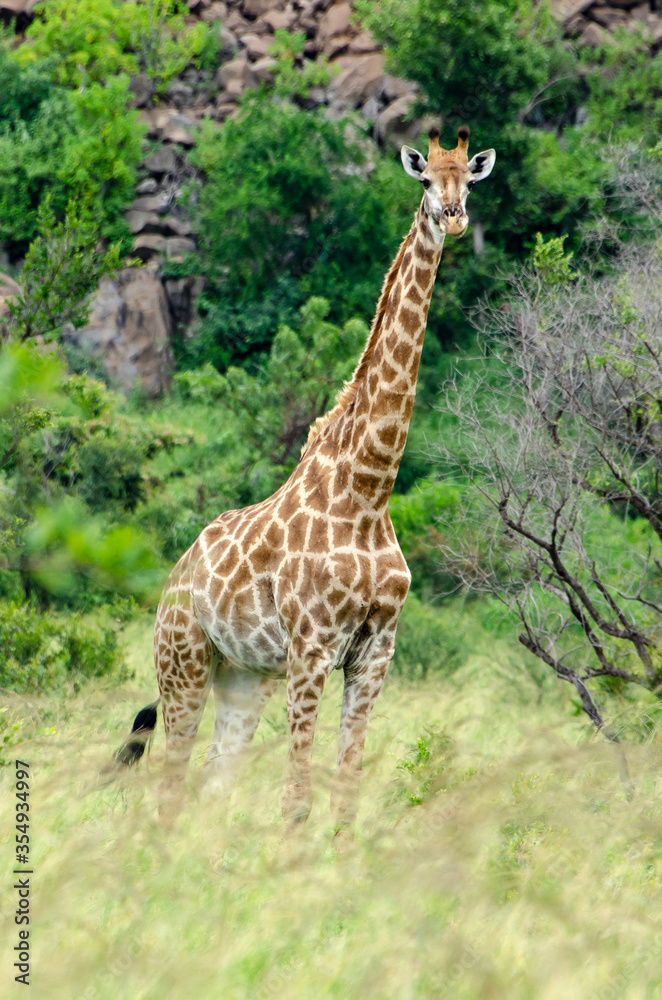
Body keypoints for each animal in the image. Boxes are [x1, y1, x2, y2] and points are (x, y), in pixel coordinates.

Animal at [119, 125, 496, 831]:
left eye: (469, 178)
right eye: (425, 178)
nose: (454, 217)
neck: (369, 489)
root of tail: (173, 578)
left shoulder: (376, 652)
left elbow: (346, 790)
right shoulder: (314, 645)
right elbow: (296, 798)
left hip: (243, 678)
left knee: (213, 782)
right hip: (182, 663)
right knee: (169, 784)